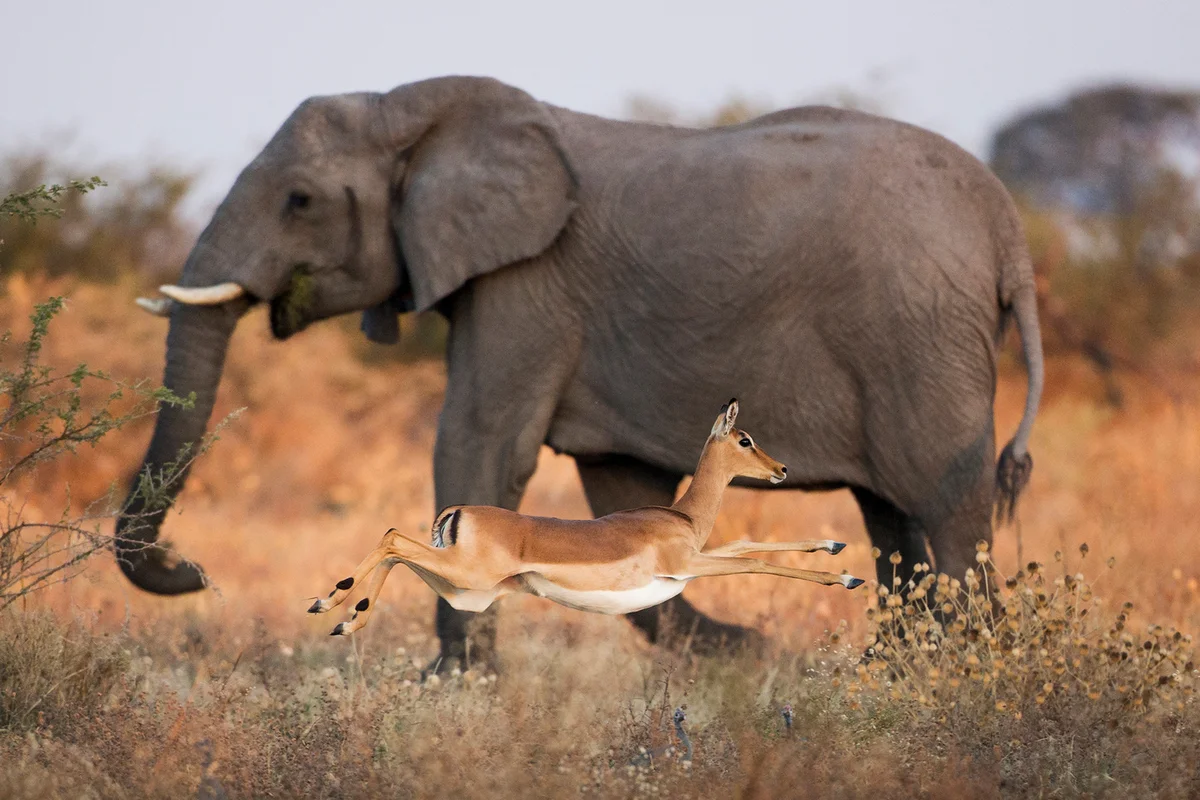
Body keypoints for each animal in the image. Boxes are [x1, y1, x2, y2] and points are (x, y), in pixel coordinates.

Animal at [309, 400, 865, 636]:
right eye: (745, 439)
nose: (782, 469)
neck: (682, 517)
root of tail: (457, 511)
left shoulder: (699, 555)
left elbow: (748, 545)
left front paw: (836, 548)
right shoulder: (688, 565)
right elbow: (755, 561)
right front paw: (847, 575)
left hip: (466, 591)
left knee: (396, 549)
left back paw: (343, 618)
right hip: (467, 575)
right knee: (392, 537)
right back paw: (327, 602)